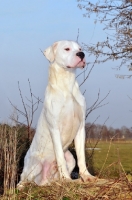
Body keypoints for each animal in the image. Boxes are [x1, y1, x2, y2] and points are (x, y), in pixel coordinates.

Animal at [17, 40, 94, 188]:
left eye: (80, 49)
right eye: (67, 49)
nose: (81, 54)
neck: (67, 84)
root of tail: (43, 181)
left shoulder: (81, 128)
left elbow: (81, 156)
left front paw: (86, 176)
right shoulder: (55, 128)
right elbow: (59, 157)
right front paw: (66, 180)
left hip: (70, 157)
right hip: (34, 165)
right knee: (23, 180)